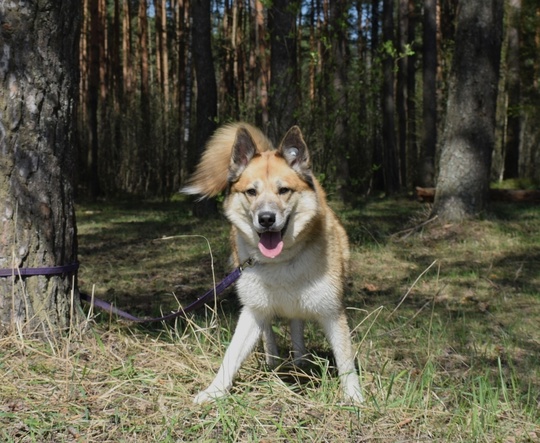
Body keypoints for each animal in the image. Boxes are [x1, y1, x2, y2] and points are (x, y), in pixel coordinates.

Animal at [184, 122, 364, 406]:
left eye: (284, 190)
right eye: (251, 192)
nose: (266, 218)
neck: (282, 260)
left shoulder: (332, 312)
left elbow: (345, 360)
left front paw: (355, 399)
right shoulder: (252, 311)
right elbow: (231, 353)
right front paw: (214, 391)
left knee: (296, 323)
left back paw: (299, 361)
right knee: (269, 329)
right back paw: (273, 360)